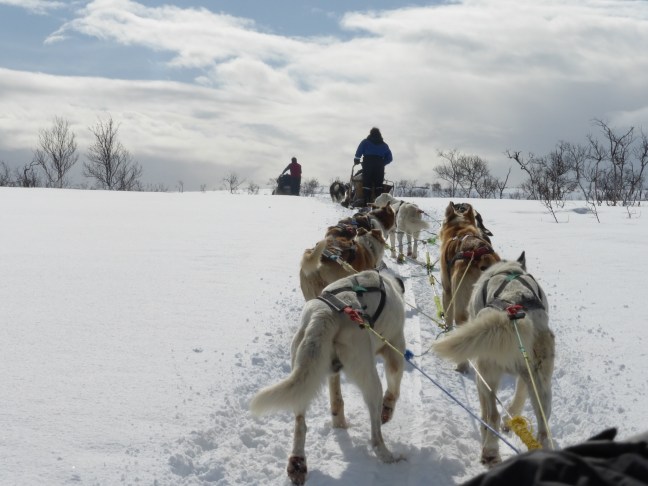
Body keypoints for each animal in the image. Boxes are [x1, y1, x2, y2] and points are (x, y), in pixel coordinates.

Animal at [251, 270, 407, 484]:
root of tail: (324, 314)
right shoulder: (395, 349)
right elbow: (394, 388)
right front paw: (387, 410)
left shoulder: (333, 370)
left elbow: (336, 399)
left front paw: (338, 421)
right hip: (370, 378)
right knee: (375, 437)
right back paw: (389, 456)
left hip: (305, 368)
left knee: (300, 423)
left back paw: (297, 463)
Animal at [433, 253, 555, 467]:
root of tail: (515, 312)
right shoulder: (526, 375)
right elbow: (519, 397)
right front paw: (510, 419)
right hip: (541, 382)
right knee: (543, 425)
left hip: (486, 373)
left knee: (492, 415)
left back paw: (489, 451)